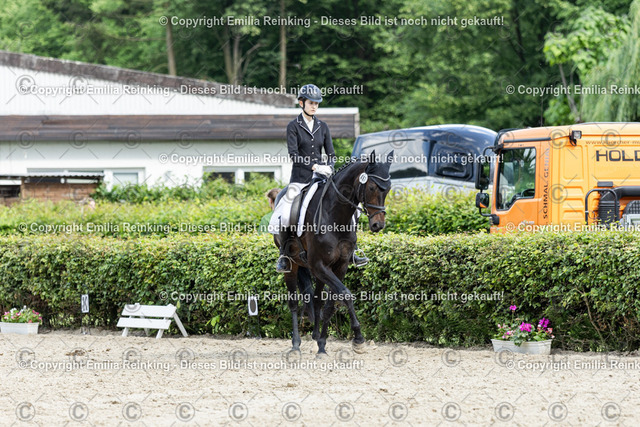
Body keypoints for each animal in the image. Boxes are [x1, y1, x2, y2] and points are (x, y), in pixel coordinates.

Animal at [274, 150, 393, 356]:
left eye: (388, 189)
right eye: (371, 187)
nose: (378, 225)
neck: (335, 215)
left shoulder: (339, 265)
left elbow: (331, 303)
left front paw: (322, 344)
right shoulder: (320, 265)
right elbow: (345, 294)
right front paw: (359, 340)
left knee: (316, 299)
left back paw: (314, 338)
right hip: (293, 264)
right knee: (293, 303)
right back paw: (295, 345)